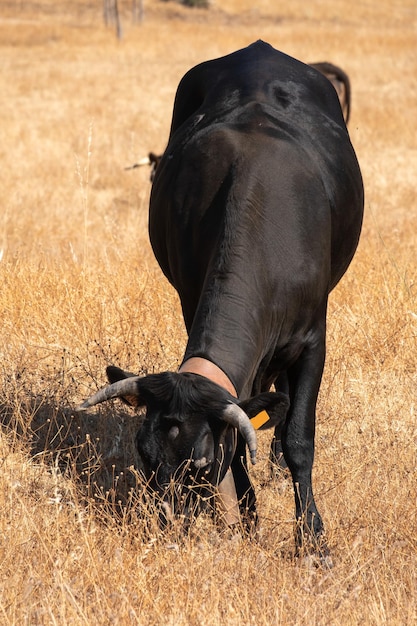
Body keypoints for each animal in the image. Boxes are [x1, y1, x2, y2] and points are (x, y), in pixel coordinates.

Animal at [79, 41, 362, 560]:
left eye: (201, 463)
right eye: (145, 456)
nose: (168, 526)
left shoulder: (314, 339)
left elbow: (299, 437)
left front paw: (312, 539)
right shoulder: (191, 302)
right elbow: (246, 429)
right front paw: (247, 516)